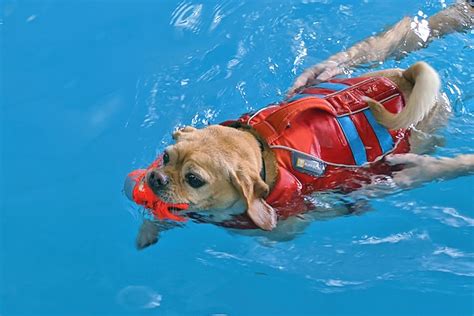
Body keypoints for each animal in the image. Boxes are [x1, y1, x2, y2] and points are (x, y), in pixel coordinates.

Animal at [133, 61, 474, 249]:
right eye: (166, 156)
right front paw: (149, 230)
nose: (156, 177)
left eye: (194, 179)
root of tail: (405, 76)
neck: (265, 155)